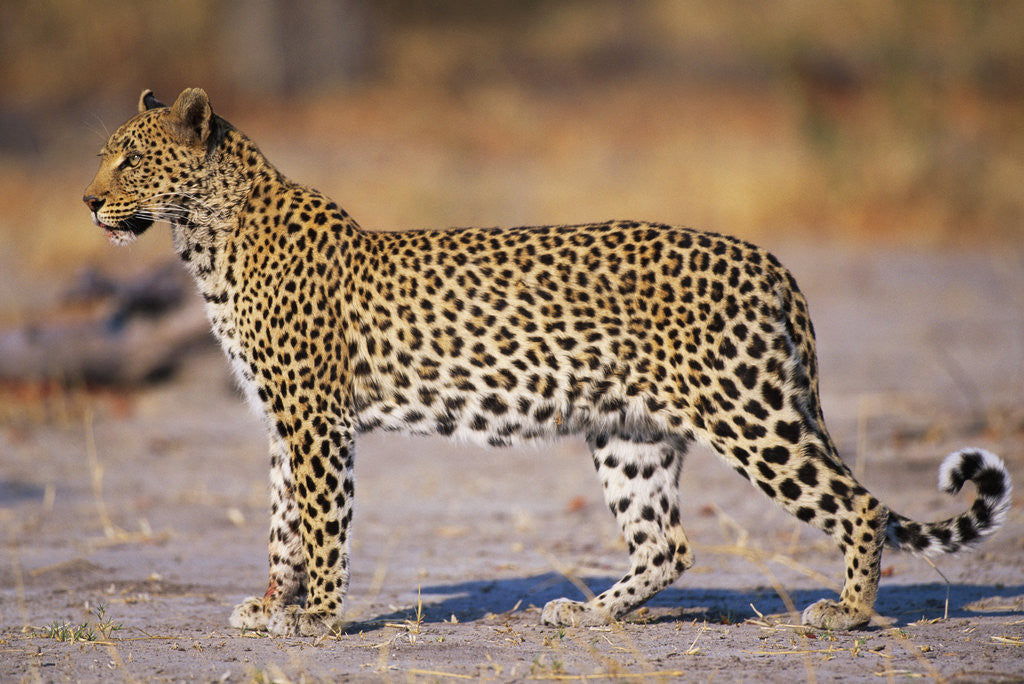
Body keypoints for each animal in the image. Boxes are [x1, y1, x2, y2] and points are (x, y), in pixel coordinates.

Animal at [83, 88, 1012, 636]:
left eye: (128, 156)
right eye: (105, 152)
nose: (88, 200)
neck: (204, 240)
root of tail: (769, 259)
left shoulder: (316, 417)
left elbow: (319, 521)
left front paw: (317, 622)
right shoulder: (284, 419)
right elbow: (282, 521)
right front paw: (273, 608)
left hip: (749, 413)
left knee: (857, 504)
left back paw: (845, 614)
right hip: (631, 435)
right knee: (667, 542)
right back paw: (589, 615)